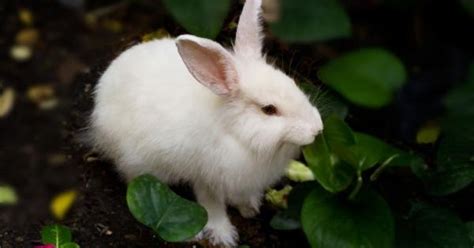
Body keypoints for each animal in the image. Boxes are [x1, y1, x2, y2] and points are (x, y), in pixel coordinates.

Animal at [90, 0, 322, 245]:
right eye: (269, 110)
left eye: (293, 83)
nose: (317, 129)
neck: (236, 133)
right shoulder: (206, 176)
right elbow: (211, 204)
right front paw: (223, 235)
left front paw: (249, 208)